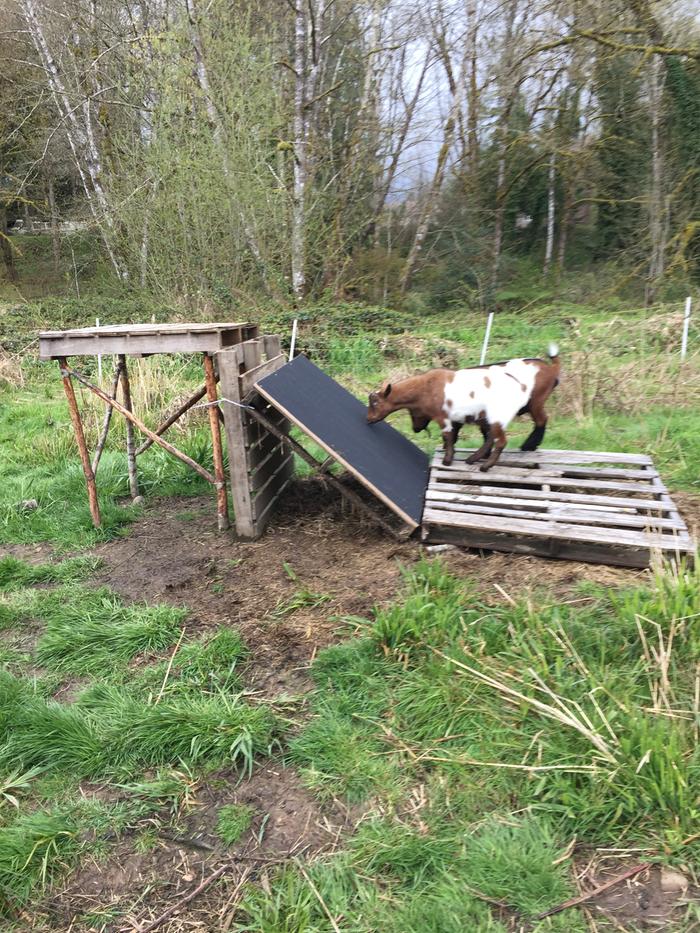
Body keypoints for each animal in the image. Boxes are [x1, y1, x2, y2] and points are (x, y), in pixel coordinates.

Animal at [370, 342, 560, 470]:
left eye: (375, 403)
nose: (369, 419)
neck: (426, 386)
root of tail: (551, 368)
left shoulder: (447, 416)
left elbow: (449, 435)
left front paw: (447, 459)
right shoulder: (458, 417)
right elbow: (454, 435)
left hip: (535, 402)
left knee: (540, 420)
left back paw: (527, 446)